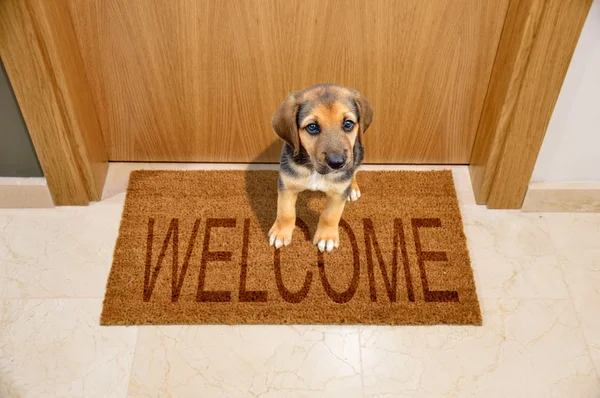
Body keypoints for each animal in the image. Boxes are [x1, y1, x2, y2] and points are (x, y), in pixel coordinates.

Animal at [270, 83, 372, 253]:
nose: (337, 163)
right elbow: (285, 212)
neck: (314, 170)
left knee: (354, 171)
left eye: (348, 124)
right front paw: (281, 233)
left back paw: (352, 188)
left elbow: (330, 215)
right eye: (312, 127)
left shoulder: (337, 193)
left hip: (359, 154)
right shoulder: (287, 185)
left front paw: (326, 238)